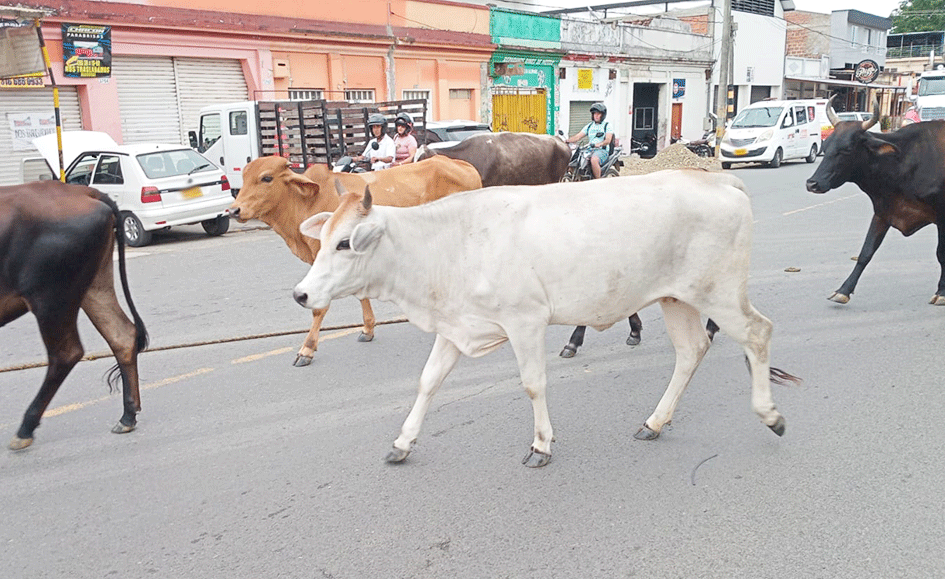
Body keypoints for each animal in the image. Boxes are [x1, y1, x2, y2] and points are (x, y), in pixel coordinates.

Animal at [0, 180, 148, 448]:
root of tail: (84, 191)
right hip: (94, 286)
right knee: (121, 335)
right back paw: (127, 416)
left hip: (52, 298)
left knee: (66, 353)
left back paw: (26, 428)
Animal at [228, 154, 480, 368]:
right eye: (244, 178)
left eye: (266, 178)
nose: (234, 210)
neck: (308, 202)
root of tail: (462, 164)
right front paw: (368, 329)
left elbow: (319, 309)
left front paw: (306, 350)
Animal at [294, 170, 796, 468]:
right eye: (324, 238)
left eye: (345, 243)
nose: (301, 294)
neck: (449, 243)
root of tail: (719, 180)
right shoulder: (455, 327)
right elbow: (428, 382)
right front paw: (403, 442)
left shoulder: (526, 321)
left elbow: (533, 384)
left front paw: (540, 444)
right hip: (677, 298)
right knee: (692, 351)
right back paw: (654, 423)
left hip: (720, 293)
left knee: (758, 332)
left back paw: (770, 415)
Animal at [804, 96, 944, 304]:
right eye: (826, 146)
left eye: (847, 149)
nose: (812, 183)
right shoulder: (883, 212)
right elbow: (866, 252)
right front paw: (843, 290)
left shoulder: (942, 218)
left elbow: (941, 253)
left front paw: (941, 292)